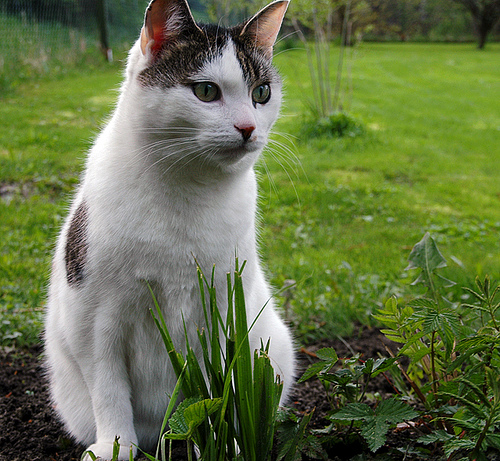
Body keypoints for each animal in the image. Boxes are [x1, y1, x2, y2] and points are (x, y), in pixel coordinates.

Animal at [44, 0, 295, 459]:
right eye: (206, 91)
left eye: (261, 93)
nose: (248, 128)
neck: (189, 191)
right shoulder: (92, 321)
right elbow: (108, 390)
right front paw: (116, 447)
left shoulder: (225, 310)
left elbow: (223, 390)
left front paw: (228, 444)